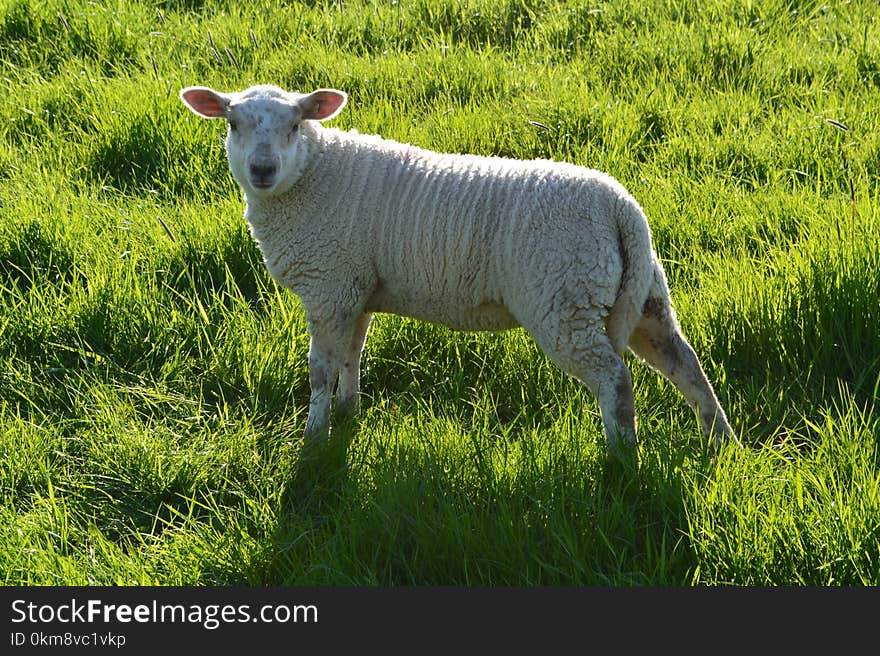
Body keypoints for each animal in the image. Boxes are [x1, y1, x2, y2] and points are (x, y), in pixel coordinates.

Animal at [179, 83, 736, 462]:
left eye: (295, 125)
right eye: (232, 124)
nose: (262, 170)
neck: (312, 177)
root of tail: (622, 209)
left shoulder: (328, 286)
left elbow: (320, 369)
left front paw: (314, 438)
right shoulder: (354, 288)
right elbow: (351, 356)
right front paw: (347, 413)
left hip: (563, 299)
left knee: (615, 380)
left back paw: (622, 459)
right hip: (640, 293)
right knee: (684, 362)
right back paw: (720, 443)